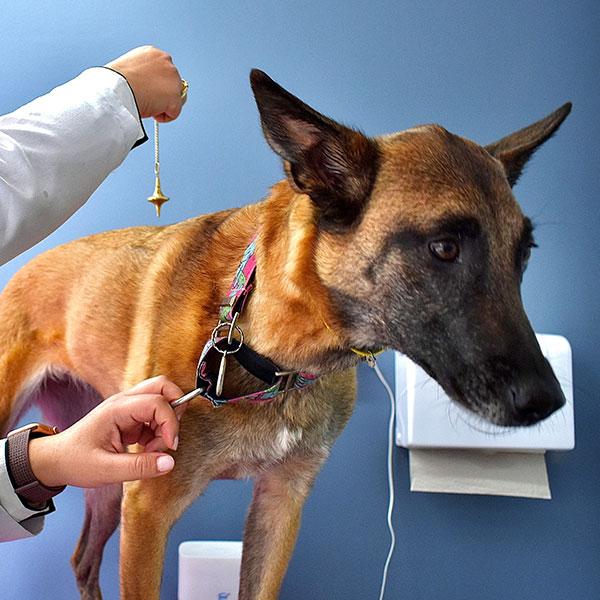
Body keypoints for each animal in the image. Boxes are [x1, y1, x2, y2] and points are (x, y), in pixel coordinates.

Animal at [0, 69, 570, 599]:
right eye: (444, 248)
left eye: (524, 254)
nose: (548, 402)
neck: (270, 354)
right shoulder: (148, 507)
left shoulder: (281, 501)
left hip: (103, 472)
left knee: (82, 558)